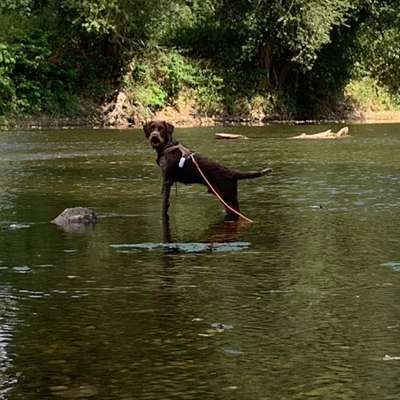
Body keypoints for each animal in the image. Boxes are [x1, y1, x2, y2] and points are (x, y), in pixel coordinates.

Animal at [144, 122, 272, 222]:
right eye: (151, 128)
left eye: (161, 128)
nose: (154, 136)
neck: (166, 146)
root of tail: (232, 173)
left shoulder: (167, 180)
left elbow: (164, 205)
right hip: (223, 197)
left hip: (228, 195)